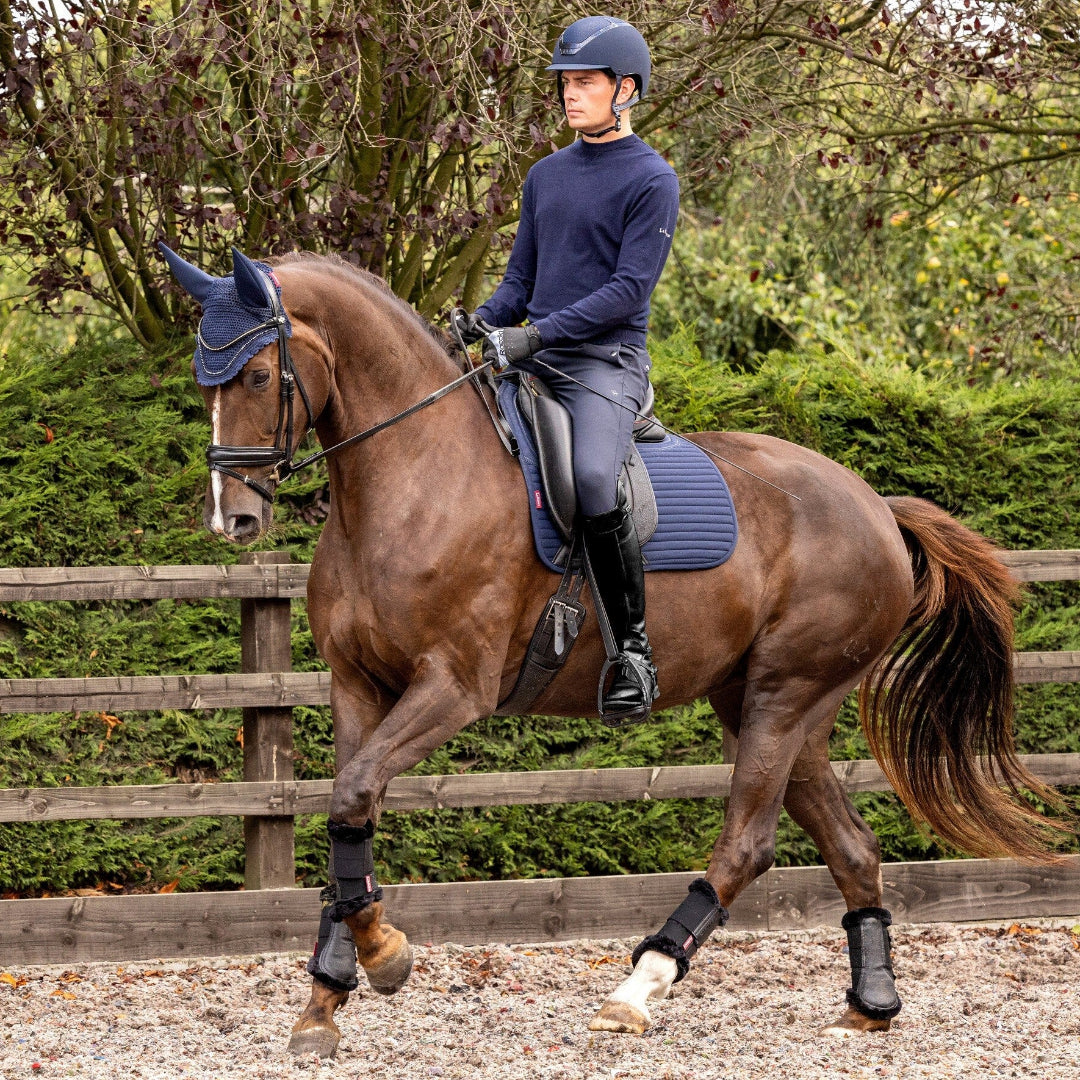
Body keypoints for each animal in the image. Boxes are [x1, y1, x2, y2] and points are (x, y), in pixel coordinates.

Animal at [162, 245, 1063, 1058]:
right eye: (204, 381)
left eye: (254, 376)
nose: (233, 519)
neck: (413, 476)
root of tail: (875, 504)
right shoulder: (357, 685)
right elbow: (348, 812)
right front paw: (326, 997)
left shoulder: (451, 687)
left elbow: (353, 795)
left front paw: (382, 957)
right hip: (769, 705)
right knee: (850, 845)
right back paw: (870, 1004)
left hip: (786, 695)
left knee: (746, 844)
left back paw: (636, 991)